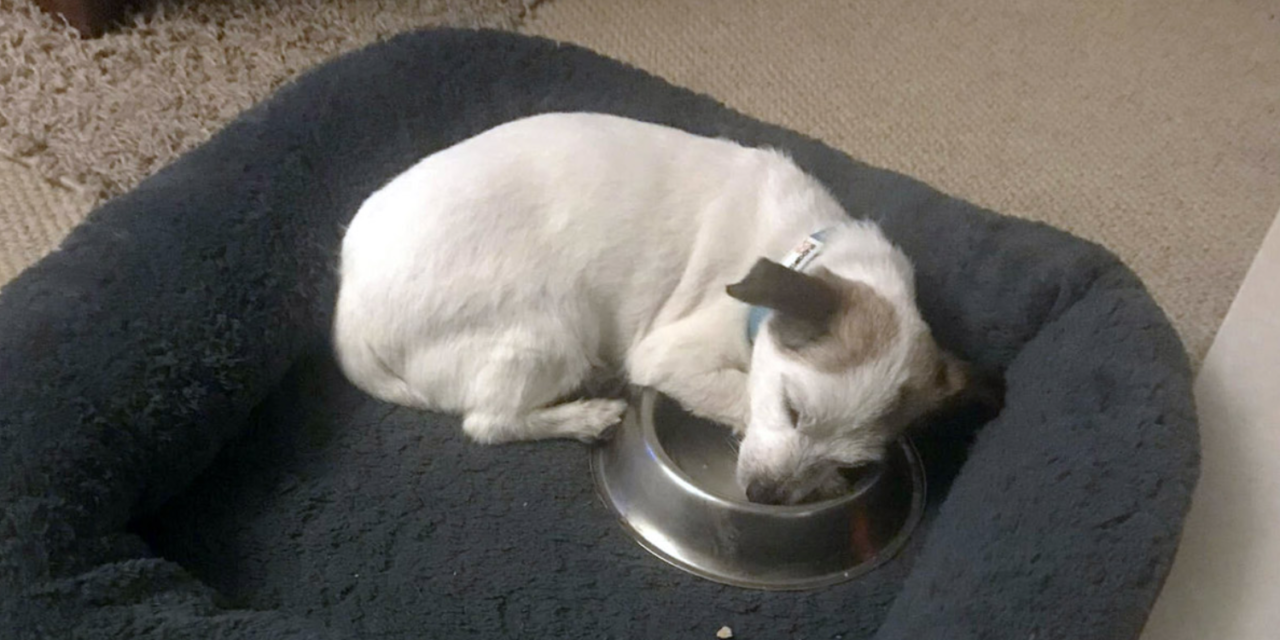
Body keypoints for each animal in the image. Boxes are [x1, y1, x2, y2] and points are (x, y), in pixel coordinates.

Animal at [335, 111, 972, 504]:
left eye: (859, 463)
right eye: (791, 410)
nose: (764, 496)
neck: (804, 248)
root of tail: (349, 316)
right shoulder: (671, 355)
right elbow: (736, 394)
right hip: (550, 329)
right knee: (488, 423)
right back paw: (585, 415)